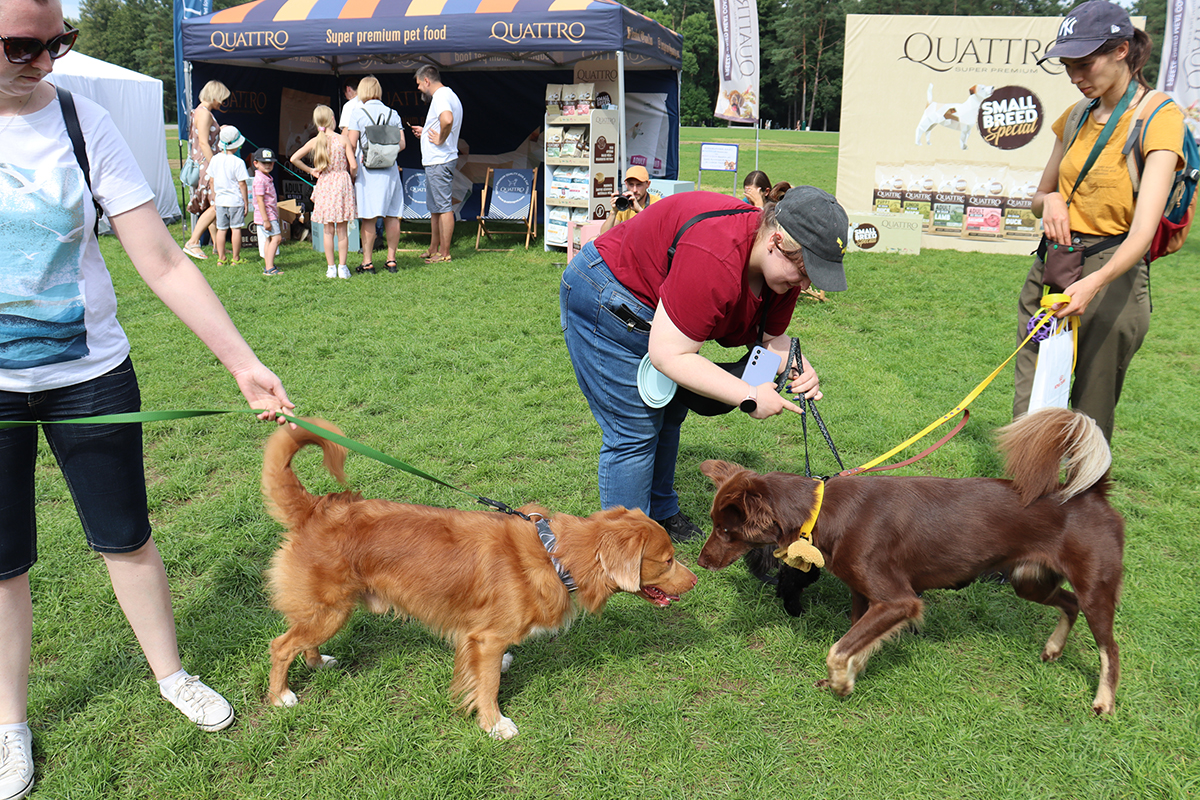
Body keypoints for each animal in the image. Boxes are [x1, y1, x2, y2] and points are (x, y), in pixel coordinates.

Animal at [262, 422, 696, 743]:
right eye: (668, 560)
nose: (695, 580)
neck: (553, 555)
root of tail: (317, 508)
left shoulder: (479, 637)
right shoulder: (486, 638)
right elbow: (487, 685)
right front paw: (494, 724)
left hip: (327, 611)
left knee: (302, 640)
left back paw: (318, 662)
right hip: (331, 611)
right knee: (281, 645)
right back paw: (281, 695)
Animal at [696, 410, 1123, 714]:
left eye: (725, 531)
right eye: (715, 525)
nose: (699, 562)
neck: (820, 512)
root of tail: (1090, 493)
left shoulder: (898, 599)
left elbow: (839, 648)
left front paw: (840, 683)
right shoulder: (864, 596)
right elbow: (853, 641)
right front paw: (847, 679)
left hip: (1095, 588)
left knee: (1110, 648)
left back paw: (1103, 702)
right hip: (1030, 580)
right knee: (1069, 604)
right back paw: (1052, 649)